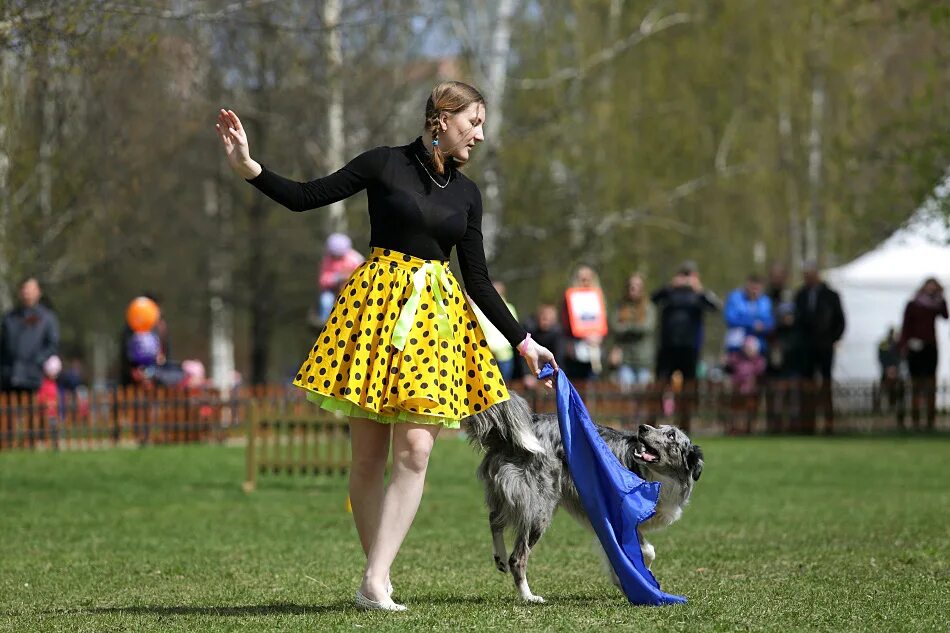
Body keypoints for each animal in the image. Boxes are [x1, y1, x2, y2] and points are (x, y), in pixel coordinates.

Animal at [464, 390, 704, 604]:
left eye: (670, 435)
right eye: (659, 428)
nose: (642, 428)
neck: (657, 477)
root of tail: (508, 436)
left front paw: (623, 581)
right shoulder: (620, 518)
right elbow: (647, 551)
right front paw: (641, 579)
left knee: (494, 519)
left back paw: (500, 558)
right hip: (539, 510)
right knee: (517, 557)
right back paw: (528, 597)